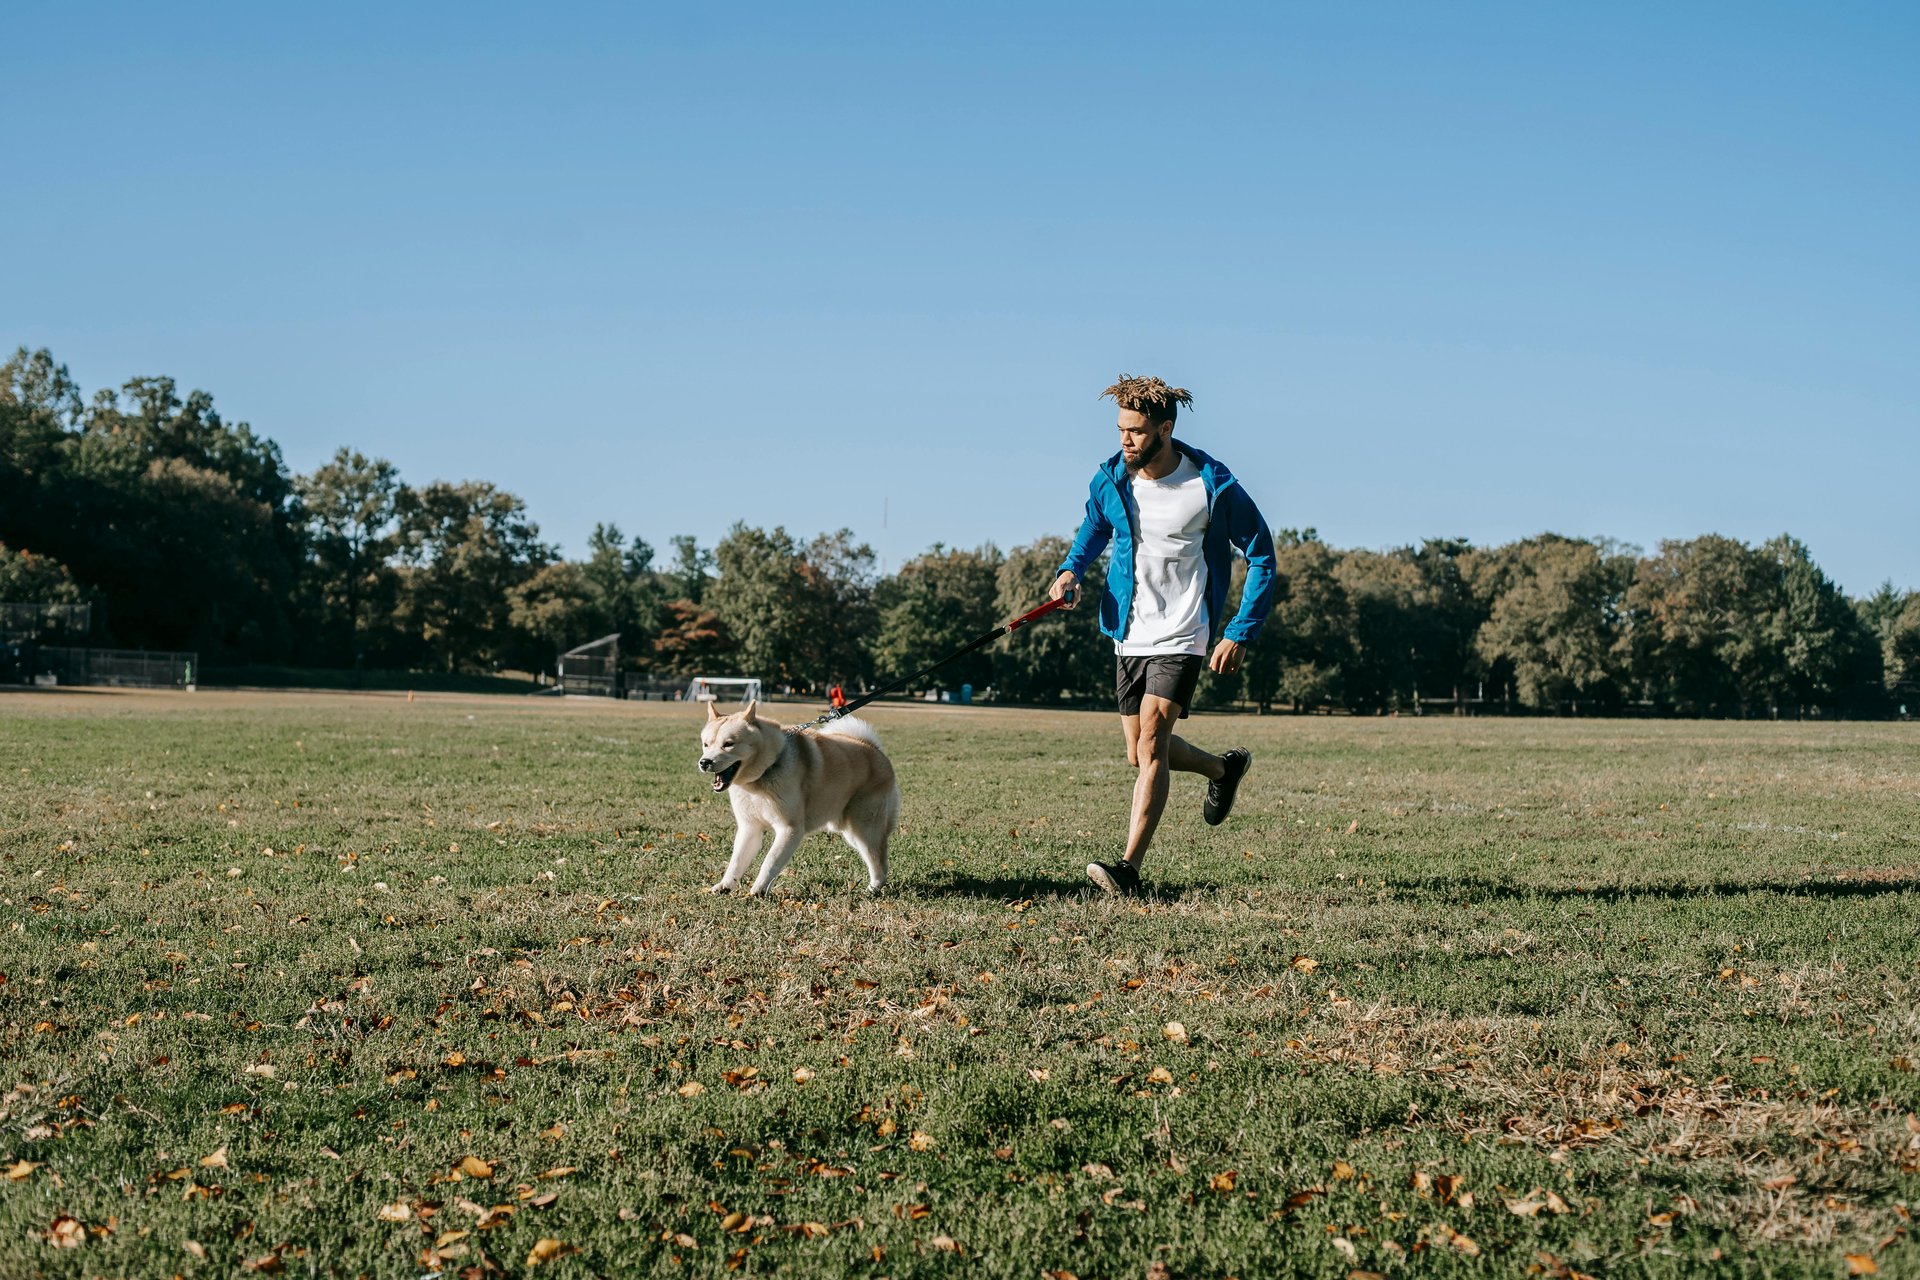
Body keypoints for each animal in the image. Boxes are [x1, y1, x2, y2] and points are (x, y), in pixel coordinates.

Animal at [698, 702, 898, 901]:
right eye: (706, 744)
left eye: (728, 744)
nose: (704, 762)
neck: (764, 773)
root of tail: (875, 749)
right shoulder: (750, 828)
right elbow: (737, 861)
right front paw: (725, 886)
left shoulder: (790, 829)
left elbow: (770, 861)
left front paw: (758, 890)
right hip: (850, 832)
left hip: (865, 830)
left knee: (879, 863)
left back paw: (872, 890)